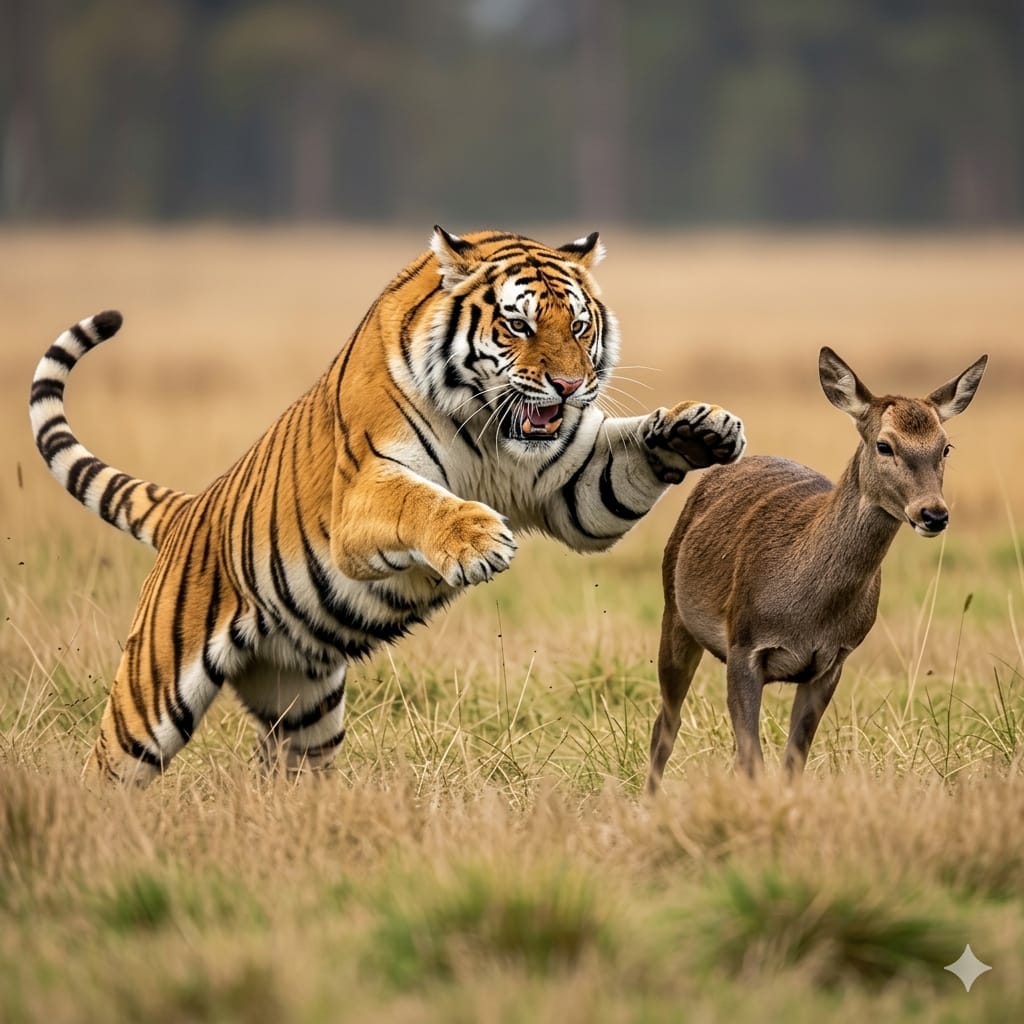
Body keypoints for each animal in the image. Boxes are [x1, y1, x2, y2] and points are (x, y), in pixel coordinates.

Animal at [29, 227, 746, 785]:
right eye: (517, 324)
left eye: (578, 325)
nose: (570, 386)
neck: (489, 425)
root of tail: (189, 510)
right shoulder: (364, 491)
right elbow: (418, 502)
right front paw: (478, 539)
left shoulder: (576, 485)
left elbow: (632, 450)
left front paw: (702, 427)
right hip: (149, 699)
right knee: (109, 771)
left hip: (303, 705)